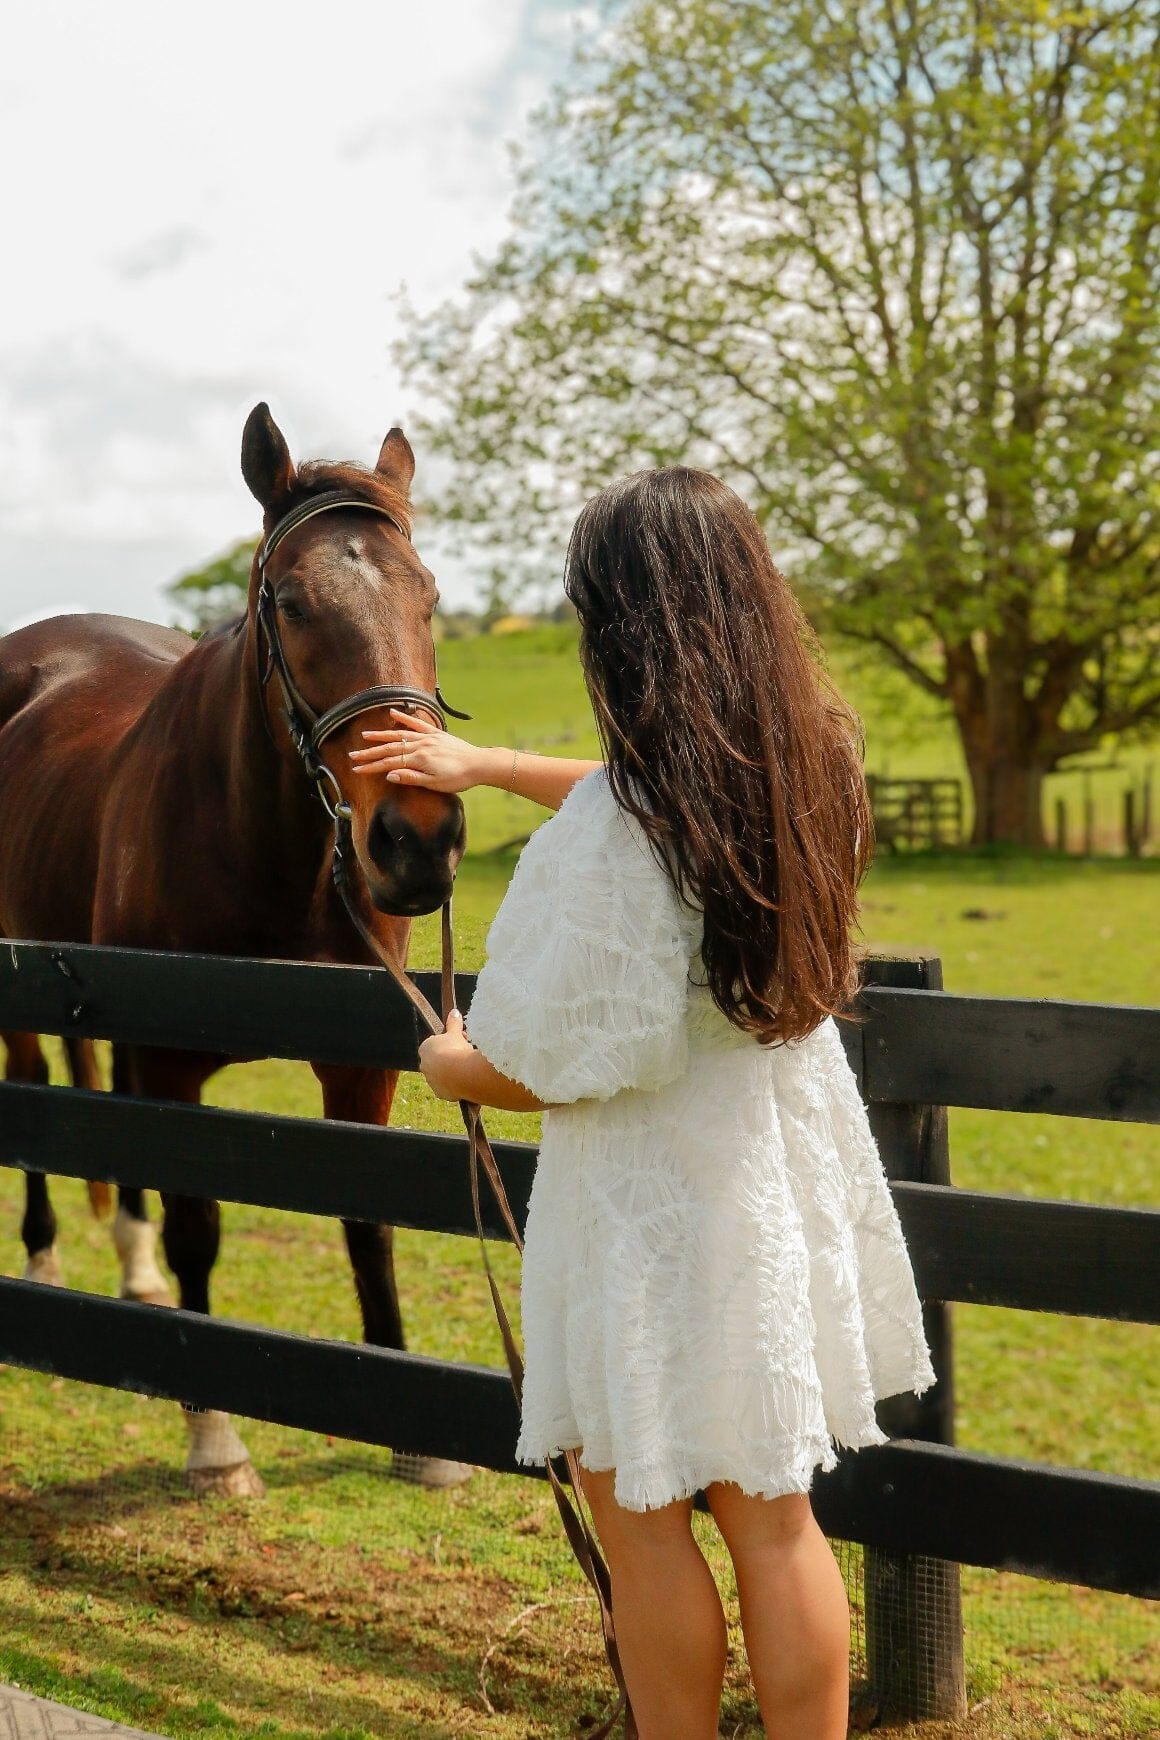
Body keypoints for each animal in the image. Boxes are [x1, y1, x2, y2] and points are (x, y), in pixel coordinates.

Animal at [3, 403, 473, 1496]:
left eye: (429, 597)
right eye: (292, 603)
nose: (418, 839)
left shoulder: (360, 1066)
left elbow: (369, 1217)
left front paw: (419, 1437)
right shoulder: (173, 1065)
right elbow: (198, 1227)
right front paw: (214, 1441)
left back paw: (130, 1272)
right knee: (37, 1087)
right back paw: (45, 1258)